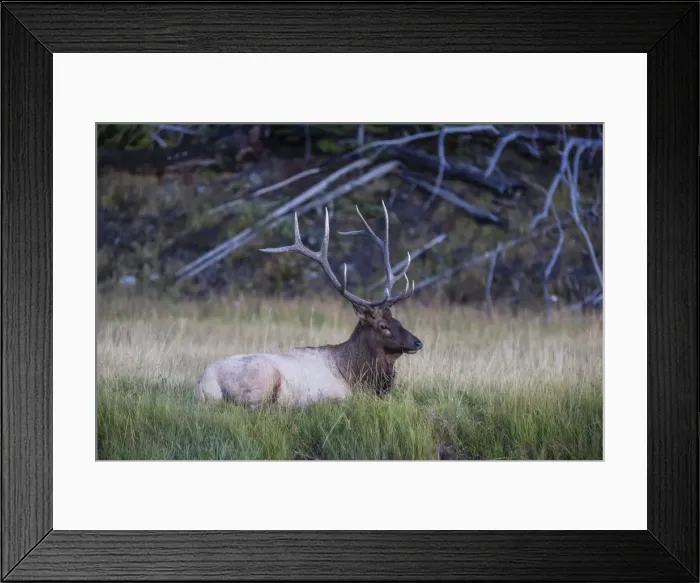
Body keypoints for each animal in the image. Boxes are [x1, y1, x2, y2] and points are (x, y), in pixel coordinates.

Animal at [195, 200, 423, 408]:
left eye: (398, 320)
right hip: (263, 378)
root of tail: (204, 384)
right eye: (383, 326)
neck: (355, 375)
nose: (418, 342)